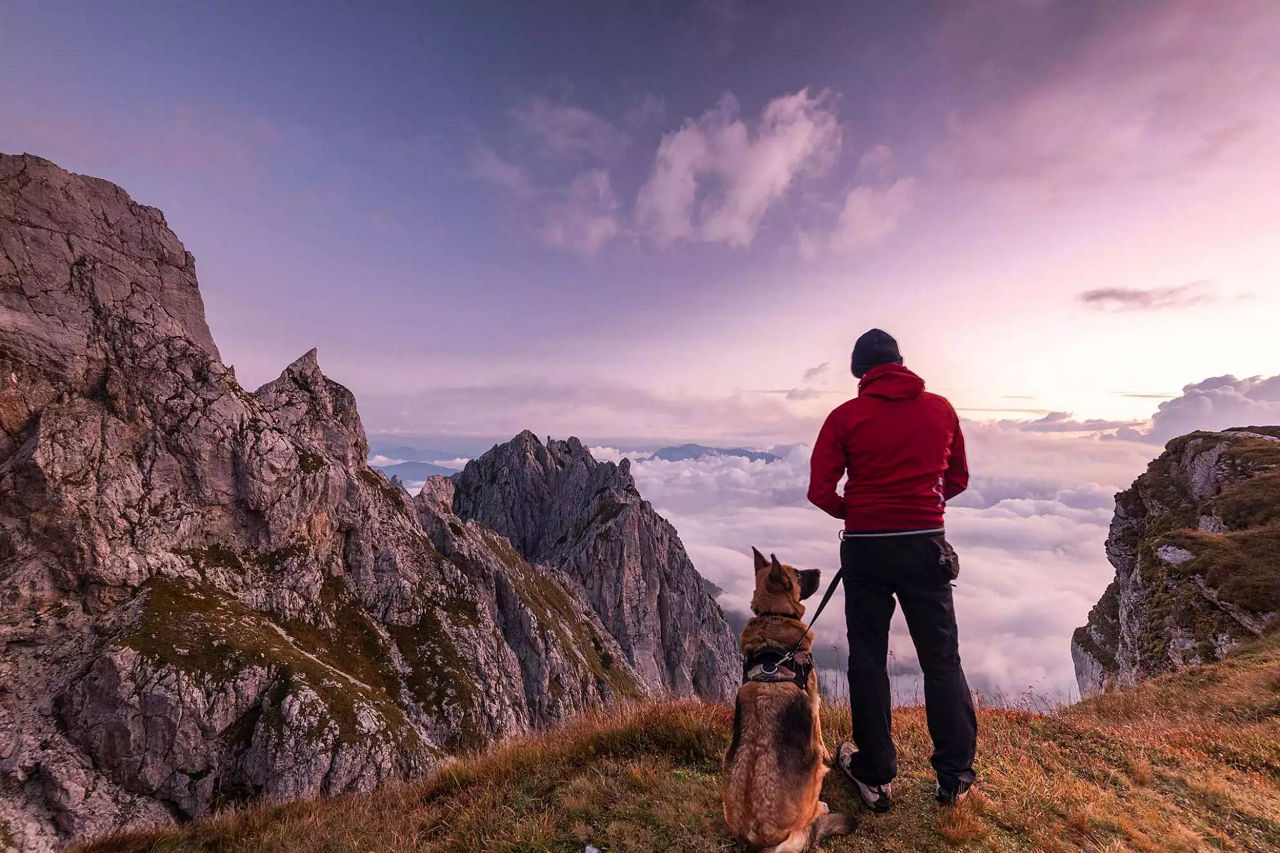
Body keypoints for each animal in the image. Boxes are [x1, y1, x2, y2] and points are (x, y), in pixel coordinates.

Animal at [727, 548, 855, 845]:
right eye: (797, 573)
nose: (819, 570)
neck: (772, 615)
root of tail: (756, 837)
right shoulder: (814, 697)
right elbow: (819, 735)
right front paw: (829, 753)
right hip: (814, 775)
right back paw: (822, 806)